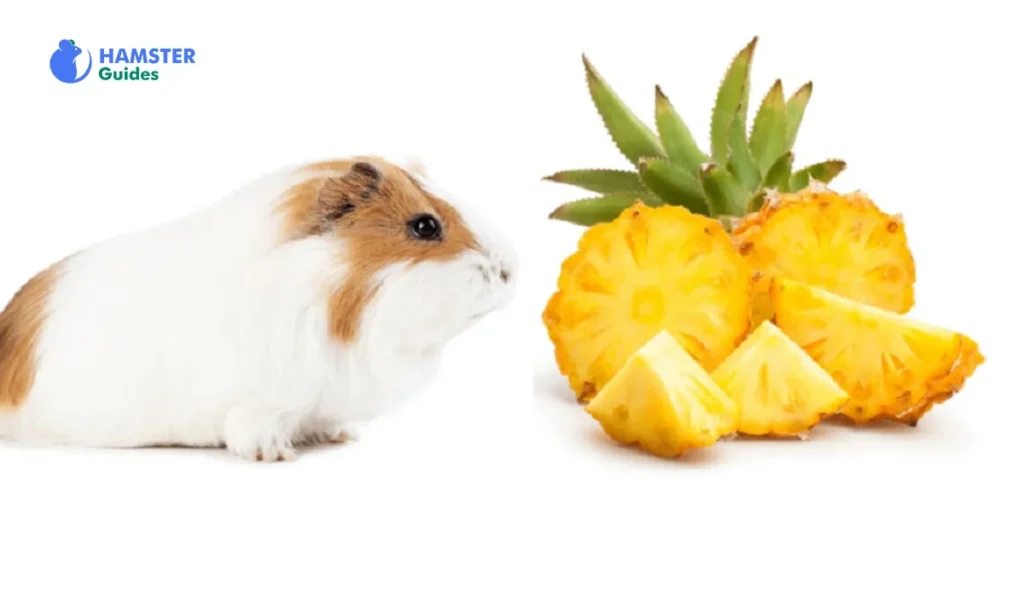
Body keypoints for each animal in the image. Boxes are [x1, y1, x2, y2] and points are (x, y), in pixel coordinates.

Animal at [0, 157, 517, 461]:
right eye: (424, 226)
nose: (509, 270)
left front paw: (340, 438)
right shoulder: (265, 401)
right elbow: (254, 427)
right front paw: (276, 454)